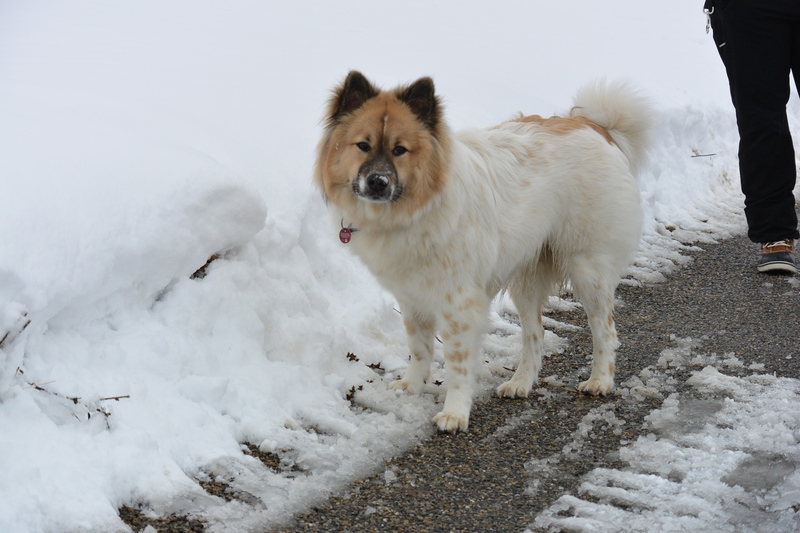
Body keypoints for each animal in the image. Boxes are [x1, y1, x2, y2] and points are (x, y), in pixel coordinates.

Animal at [314, 71, 653, 433]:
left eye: (399, 150)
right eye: (362, 145)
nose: (377, 182)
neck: (420, 208)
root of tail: (594, 126)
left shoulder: (459, 304)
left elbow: (458, 365)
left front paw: (455, 412)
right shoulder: (412, 297)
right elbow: (419, 349)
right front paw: (412, 386)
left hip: (589, 271)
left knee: (605, 331)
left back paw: (600, 380)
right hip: (527, 278)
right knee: (535, 334)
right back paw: (521, 382)